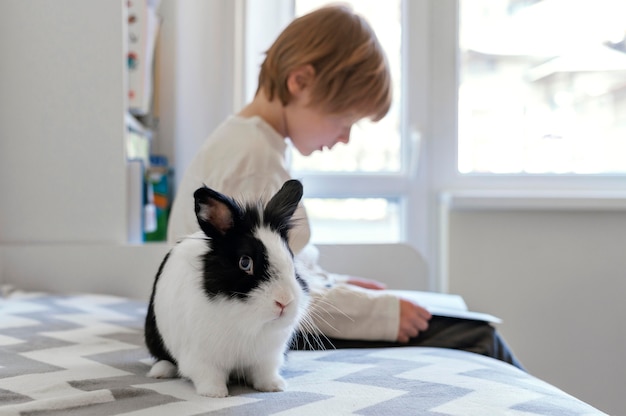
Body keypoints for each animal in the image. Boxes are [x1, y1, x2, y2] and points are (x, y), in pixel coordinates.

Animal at [147, 180, 312, 398]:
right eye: (245, 262)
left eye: (291, 259)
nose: (284, 301)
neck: (247, 322)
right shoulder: (201, 358)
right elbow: (209, 376)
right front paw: (215, 393)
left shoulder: (267, 358)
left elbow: (265, 374)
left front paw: (274, 387)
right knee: (163, 358)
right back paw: (160, 371)